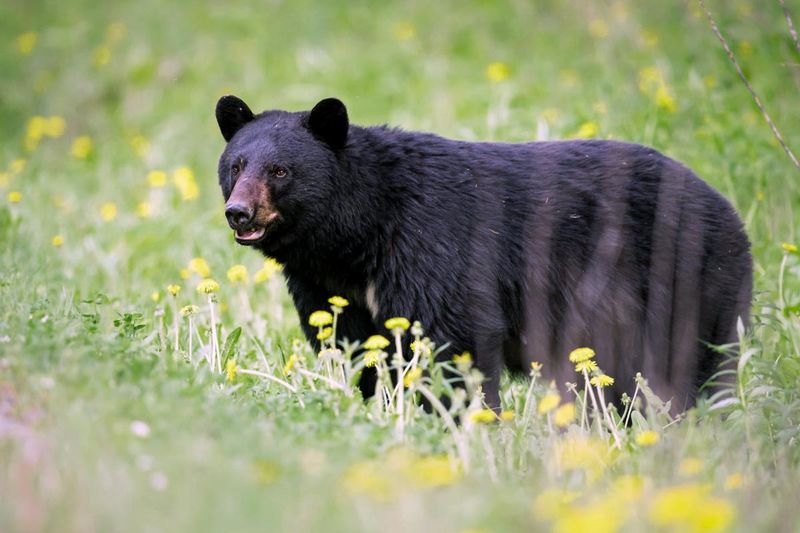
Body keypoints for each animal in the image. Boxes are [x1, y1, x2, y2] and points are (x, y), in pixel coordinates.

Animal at [216, 96, 752, 412]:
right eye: (236, 165)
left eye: (281, 170)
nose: (239, 212)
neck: (358, 234)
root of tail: (729, 209)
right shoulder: (328, 285)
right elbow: (358, 346)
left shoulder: (431, 243)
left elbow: (455, 334)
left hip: (686, 280)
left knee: (689, 364)